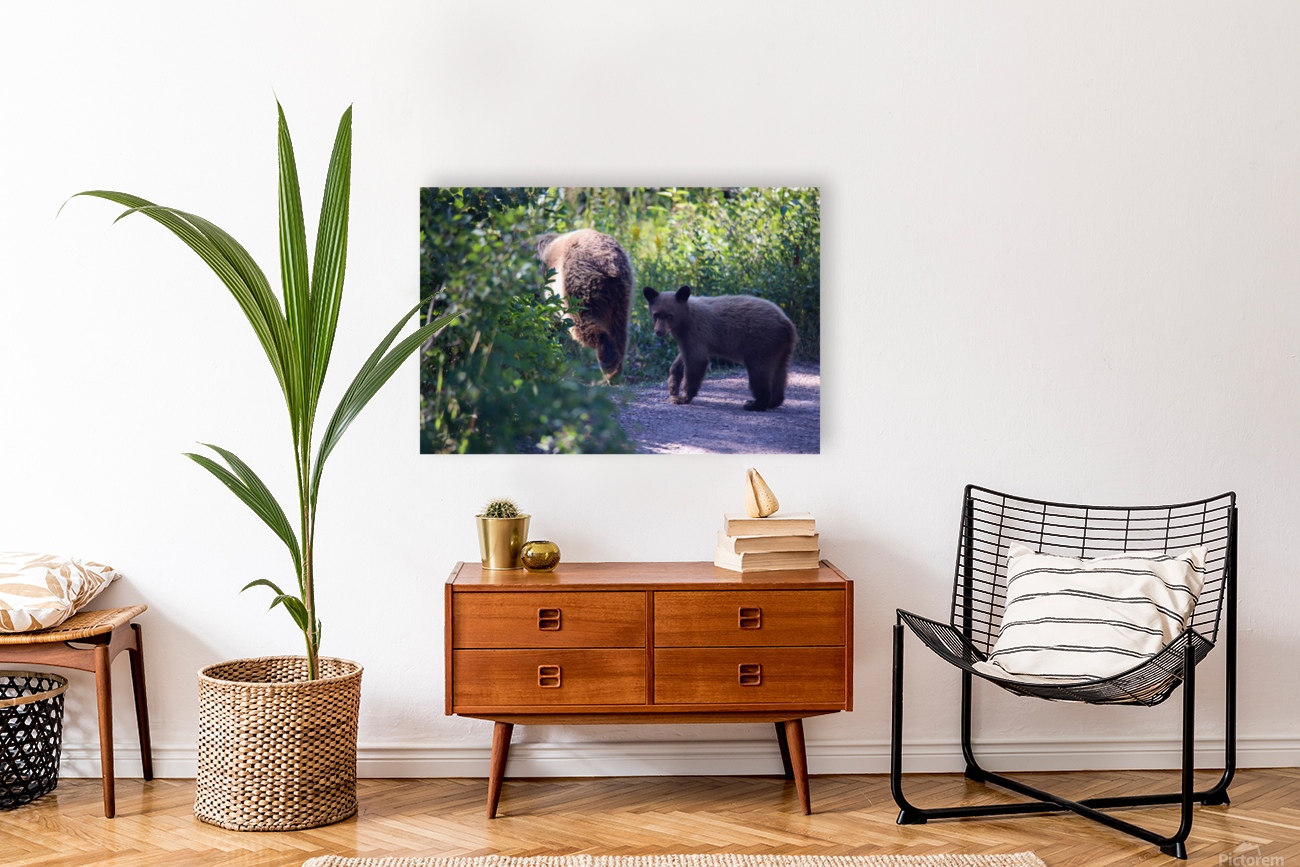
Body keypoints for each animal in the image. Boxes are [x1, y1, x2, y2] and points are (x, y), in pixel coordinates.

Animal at [535, 228, 634, 380]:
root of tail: (609, 261)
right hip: (621, 293)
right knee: (619, 329)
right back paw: (616, 371)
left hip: (577, 285)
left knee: (583, 322)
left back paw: (608, 365)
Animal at [642, 285, 797, 411]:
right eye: (656, 314)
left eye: (670, 315)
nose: (659, 331)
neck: (685, 319)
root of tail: (787, 324)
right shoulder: (687, 338)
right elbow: (682, 359)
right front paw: (673, 386)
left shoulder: (696, 331)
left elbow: (696, 360)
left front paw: (682, 398)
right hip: (781, 348)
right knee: (780, 372)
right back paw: (774, 401)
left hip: (761, 343)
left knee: (759, 372)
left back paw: (754, 404)